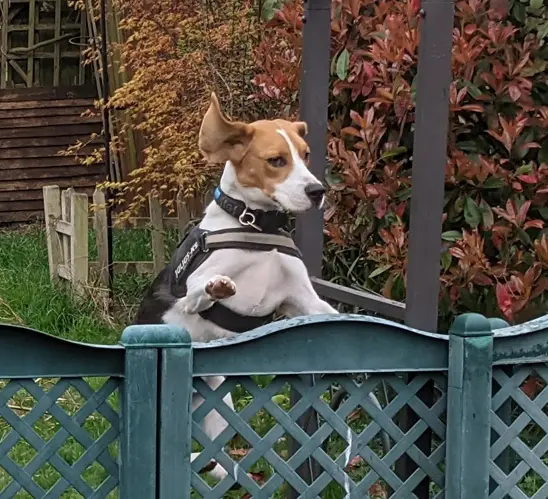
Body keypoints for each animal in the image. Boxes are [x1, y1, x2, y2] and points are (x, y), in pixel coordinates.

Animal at [133, 92, 338, 482]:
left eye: (306, 155)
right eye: (276, 160)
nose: (317, 191)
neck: (258, 226)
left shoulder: (304, 300)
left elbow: (328, 312)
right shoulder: (192, 289)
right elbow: (199, 291)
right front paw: (217, 288)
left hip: (221, 413)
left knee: (214, 462)